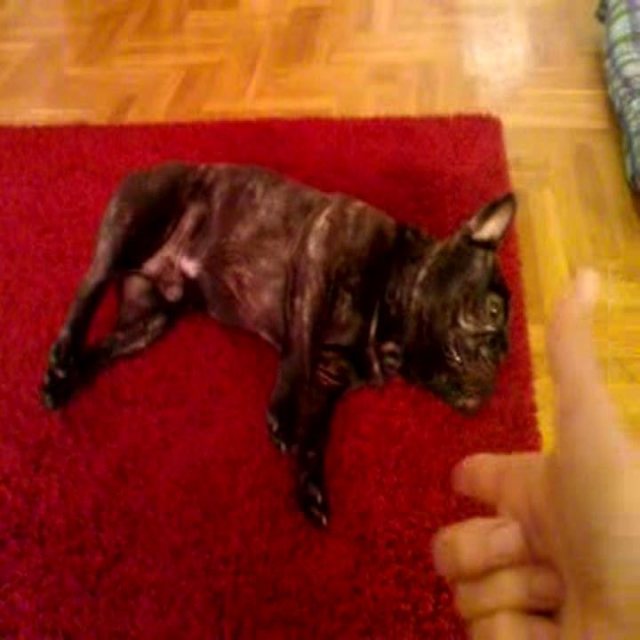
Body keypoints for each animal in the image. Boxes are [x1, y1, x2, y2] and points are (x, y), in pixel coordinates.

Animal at [42, 163, 515, 527]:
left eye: (506, 351)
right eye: (492, 312)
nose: (497, 365)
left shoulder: (330, 380)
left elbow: (317, 434)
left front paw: (310, 486)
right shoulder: (319, 259)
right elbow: (300, 348)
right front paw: (284, 415)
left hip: (150, 322)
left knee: (104, 347)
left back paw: (62, 380)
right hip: (136, 225)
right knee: (89, 288)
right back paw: (64, 351)